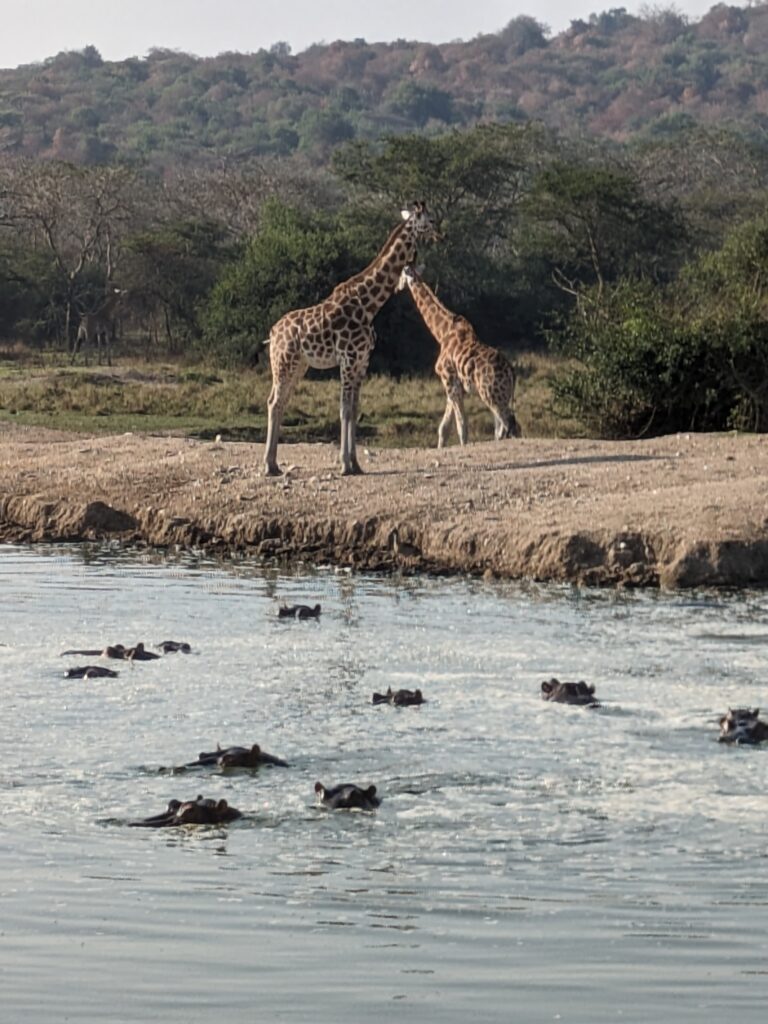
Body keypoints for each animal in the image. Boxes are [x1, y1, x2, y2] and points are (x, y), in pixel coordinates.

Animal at [264, 201, 436, 477]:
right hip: (283, 362)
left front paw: (356, 464)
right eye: (430, 220)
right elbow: (344, 409)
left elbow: (354, 409)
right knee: (273, 402)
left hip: (299, 365)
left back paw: (275, 464)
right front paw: (345, 464)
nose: (440, 234)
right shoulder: (348, 358)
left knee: (279, 402)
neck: (368, 305)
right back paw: (268, 466)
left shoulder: (362, 361)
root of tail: (272, 333)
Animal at [397, 268, 524, 448]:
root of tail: (511, 373)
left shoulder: (449, 381)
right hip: (502, 397)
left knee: (509, 427)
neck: (442, 332)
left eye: (401, 274)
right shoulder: (454, 385)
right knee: (504, 429)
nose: (397, 287)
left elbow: (461, 427)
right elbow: (444, 428)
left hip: (492, 396)